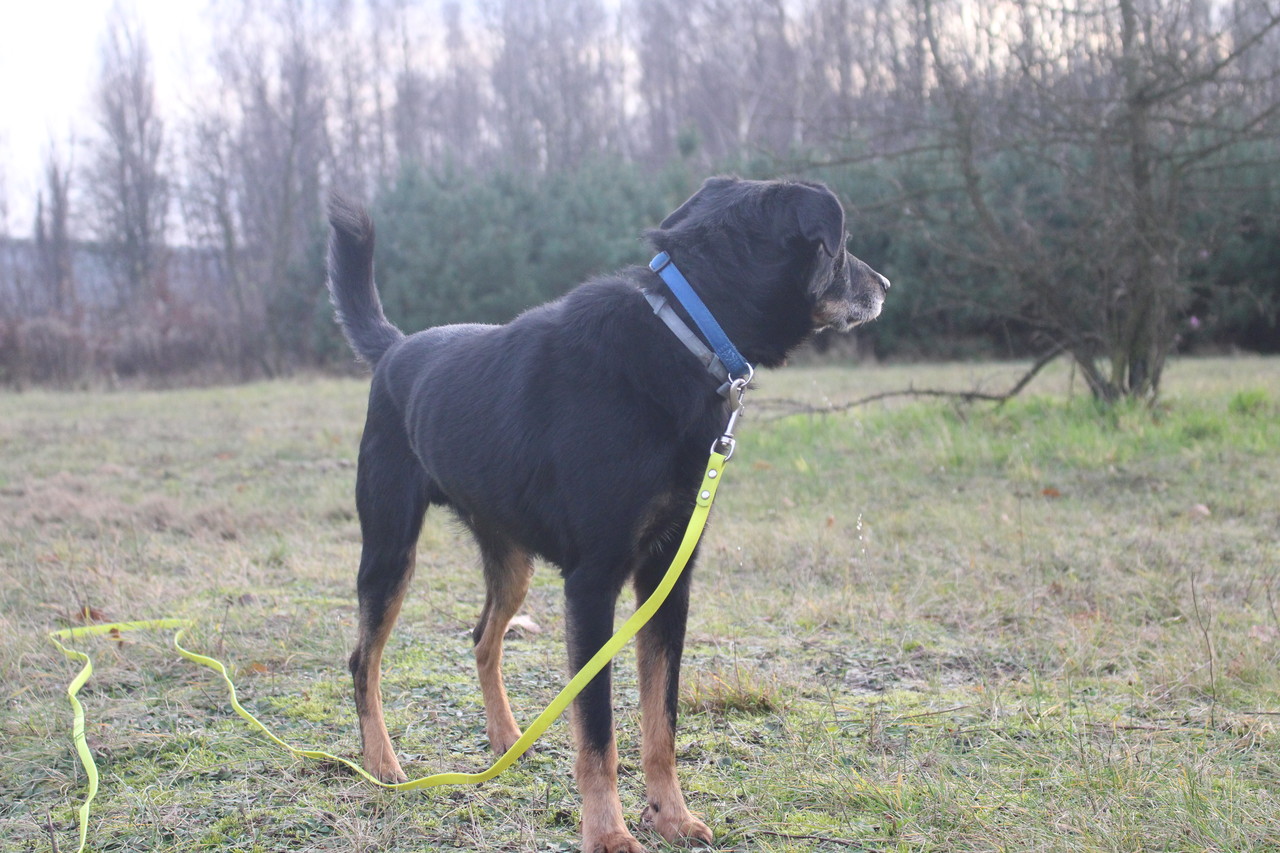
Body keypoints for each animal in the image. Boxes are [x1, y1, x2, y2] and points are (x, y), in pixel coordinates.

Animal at [326, 176, 889, 853]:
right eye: (842, 245)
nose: (885, 285)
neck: (686, 332)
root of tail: (396, 349)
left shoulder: (667, 579)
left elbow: (660, 722)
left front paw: (671, 816)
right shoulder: (592, 585)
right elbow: (597, 730)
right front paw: (609, 834)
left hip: (511, 560)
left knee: (484, 637)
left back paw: (506, 739)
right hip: (390, 551)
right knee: (364, 660)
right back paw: (381, 764)